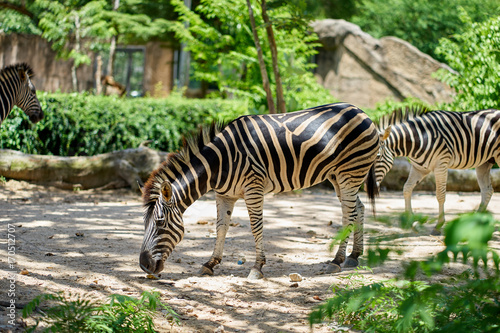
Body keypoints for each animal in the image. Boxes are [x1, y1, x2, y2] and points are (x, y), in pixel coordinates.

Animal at [138, 102, 378, 278]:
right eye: (145, 223)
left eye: (160, 223)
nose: (143, 266)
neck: (220, 163)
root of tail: (360, 110)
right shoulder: (224, 195)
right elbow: (221, 227)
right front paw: (210, 263)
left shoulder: (253, 187)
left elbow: (256, 226)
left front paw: (257, 267)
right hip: (338, 176)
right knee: (358, 208)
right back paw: (354, 256)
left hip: (350, 173)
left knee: (348, 214)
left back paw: (337, 261)